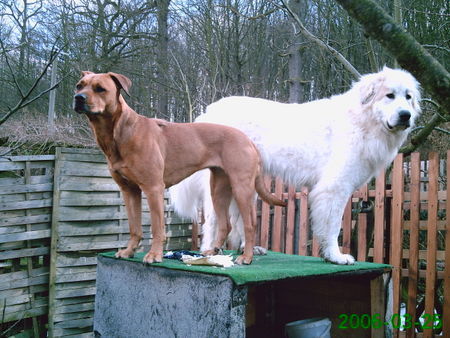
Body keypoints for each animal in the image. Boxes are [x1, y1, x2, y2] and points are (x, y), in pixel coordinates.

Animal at [73, 72, 284, 266]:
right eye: (79, 85)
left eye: (100, 88)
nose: (78, 98)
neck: (119, 131)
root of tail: (248, 139)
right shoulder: (129, 190)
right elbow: (135, 227)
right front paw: (129, 251)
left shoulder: (153, 188)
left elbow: (157, 228)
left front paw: (154, 255)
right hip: (218, 189)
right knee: (225, 224)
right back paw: (212, 252)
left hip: (241, 188)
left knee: (250, 224)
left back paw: (246, 257)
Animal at [171, 66, 420, 264]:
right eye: (389, 95)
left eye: (408, 97)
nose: (405, 115)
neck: (361, 119)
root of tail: (209, 111)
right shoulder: (334, 189)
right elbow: (332, 226)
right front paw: (336, 256)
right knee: (213, 219)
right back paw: (208, 252)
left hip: (244, 184)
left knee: (239, 218)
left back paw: (247, 249)